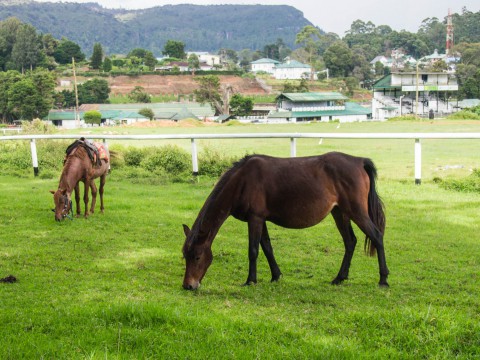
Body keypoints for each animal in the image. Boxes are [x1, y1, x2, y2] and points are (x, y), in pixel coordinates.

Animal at [182, 152, 388, 290]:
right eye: (185, 256)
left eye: (197, 256)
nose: (188, 285)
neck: (242, 180)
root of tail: (359, 161)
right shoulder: (260, 219)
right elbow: (267, 247)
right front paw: (276, 275)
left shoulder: (255, 219)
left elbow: (253, 250)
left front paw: (250, 280)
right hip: (340, 213)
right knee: (350, 241)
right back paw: (339, 278)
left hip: (356, 211)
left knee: (376, 236)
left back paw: (383, 279)